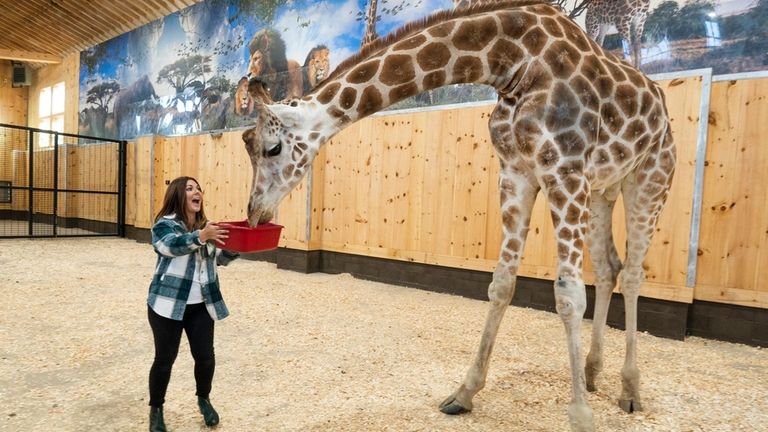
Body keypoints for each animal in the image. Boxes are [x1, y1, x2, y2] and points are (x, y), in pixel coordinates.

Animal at [243, 1, 676, 430]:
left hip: (650, 178)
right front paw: (465, 393)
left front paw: (581, 415)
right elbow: (502, 284)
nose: (255, 213)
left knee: (633, 273)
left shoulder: (564, 170)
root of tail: (661, 105)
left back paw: (630, 389)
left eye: (271, 148)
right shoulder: (516, 173)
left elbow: (568, 295)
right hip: (605, 188)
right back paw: (592, 370)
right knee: (608, 268)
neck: (511, 61)